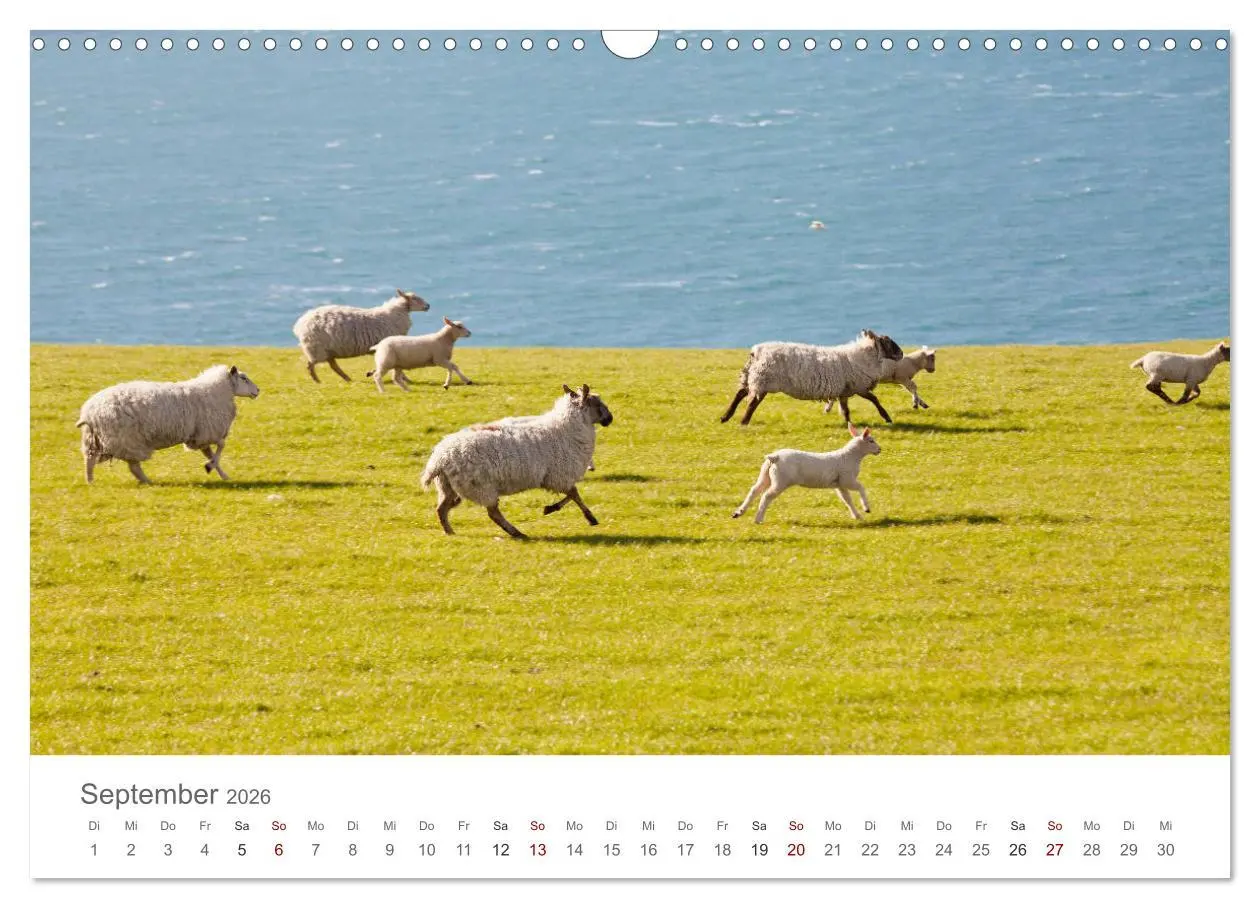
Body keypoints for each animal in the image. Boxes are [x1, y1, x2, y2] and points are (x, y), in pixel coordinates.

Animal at [76, 365, 261, 484]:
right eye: (244, 378)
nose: (258, 390)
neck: (214, 391)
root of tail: (89, 412)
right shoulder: (207, 432)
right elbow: (221, 446)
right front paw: (210, 467)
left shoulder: (199, 437)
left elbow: (211, 454)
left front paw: (223, 475)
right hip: (127, 439)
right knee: (133, 466)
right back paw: (147, 481)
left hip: (95, 440)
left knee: (89, 460)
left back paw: (90, 482)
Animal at [293, 288, 430, 382]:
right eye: (415, 299)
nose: (428, 306)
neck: (395, 314)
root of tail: (300, 323)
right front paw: (405, 378)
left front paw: (371, 373)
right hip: (317, 348)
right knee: (310, 365)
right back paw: (317, 380)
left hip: (327, 350)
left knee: (333, 365)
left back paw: (347, 378)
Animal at [420, 384, 613, 539]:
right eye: (597, 404)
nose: (610, 419)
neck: (567, 427)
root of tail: (440, 458)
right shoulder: (558, 476)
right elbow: (574, 494)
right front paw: (589, 518)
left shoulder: (553, 478)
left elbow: (572, 495)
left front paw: (552, 509)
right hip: (481, 486)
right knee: (493, 513)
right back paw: (517, 533)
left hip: (449, 487)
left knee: (442, 508)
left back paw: (450, 532)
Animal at [720, 329, 904, 426]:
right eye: (888, 343)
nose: (902, 354)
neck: (864, 356)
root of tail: (756, 351)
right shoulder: (859, 386)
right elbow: (875, 399)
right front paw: (887, 418)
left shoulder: (845, 390)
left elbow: (846, 409)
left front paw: (848, 424)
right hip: (763, 380)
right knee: (752, 402)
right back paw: (743, 422)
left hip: (753, 376)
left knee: (741, 393)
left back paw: (725, 417)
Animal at [732, 424, 882, 524]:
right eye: (871, 440)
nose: (880, 450)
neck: (850, 456)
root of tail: (774, 457)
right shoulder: (847, 479)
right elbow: (861, 488)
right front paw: (866, 508)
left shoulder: (839, 484)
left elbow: (847, 500)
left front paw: (857, 516)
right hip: (781, 480)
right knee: (766, 496)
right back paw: (758, 518)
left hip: (766, 475)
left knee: (754, 490)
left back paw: (739, 512)